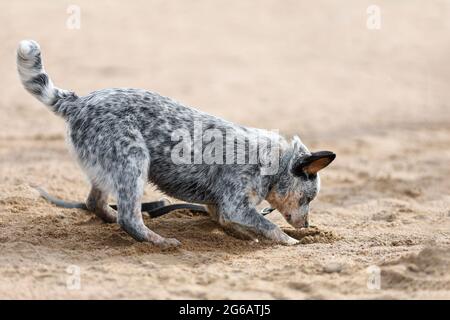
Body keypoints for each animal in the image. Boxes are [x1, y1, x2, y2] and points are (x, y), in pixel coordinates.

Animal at [16, 40, 334, 249]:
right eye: (308, 198)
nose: (307, 225)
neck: (272, 160)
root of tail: (78, 102)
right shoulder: (235, 203)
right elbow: (266, 223)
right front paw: (287, 239)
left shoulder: (221, 206)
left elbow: (227, 221)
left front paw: (243, 236)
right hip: (133, 161)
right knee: (128, 218)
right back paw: (158, 240)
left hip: (107, 168)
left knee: (95, 203)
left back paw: (116, 217)